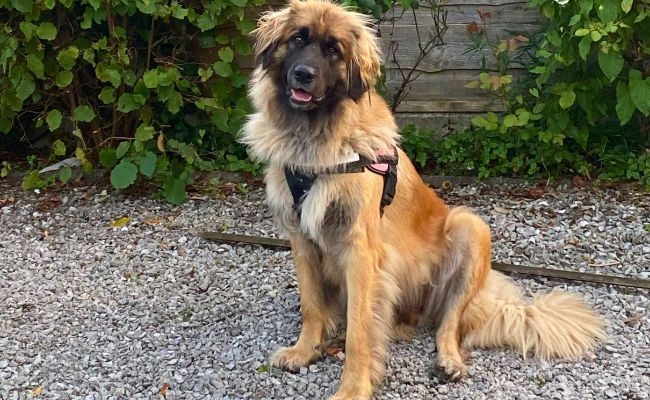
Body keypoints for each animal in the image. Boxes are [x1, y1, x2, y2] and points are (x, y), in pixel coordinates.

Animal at [240, 1, 604, 398]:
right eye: (297, 39)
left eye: (333, 49)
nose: (303, 75)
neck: (318, 143)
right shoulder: (301, 239)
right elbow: (311, 306)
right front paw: (305, 350)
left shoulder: (360, 251)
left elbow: (360, 334)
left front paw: (353, 388)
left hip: (469, 227)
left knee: (449, 325)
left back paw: (449, 361)